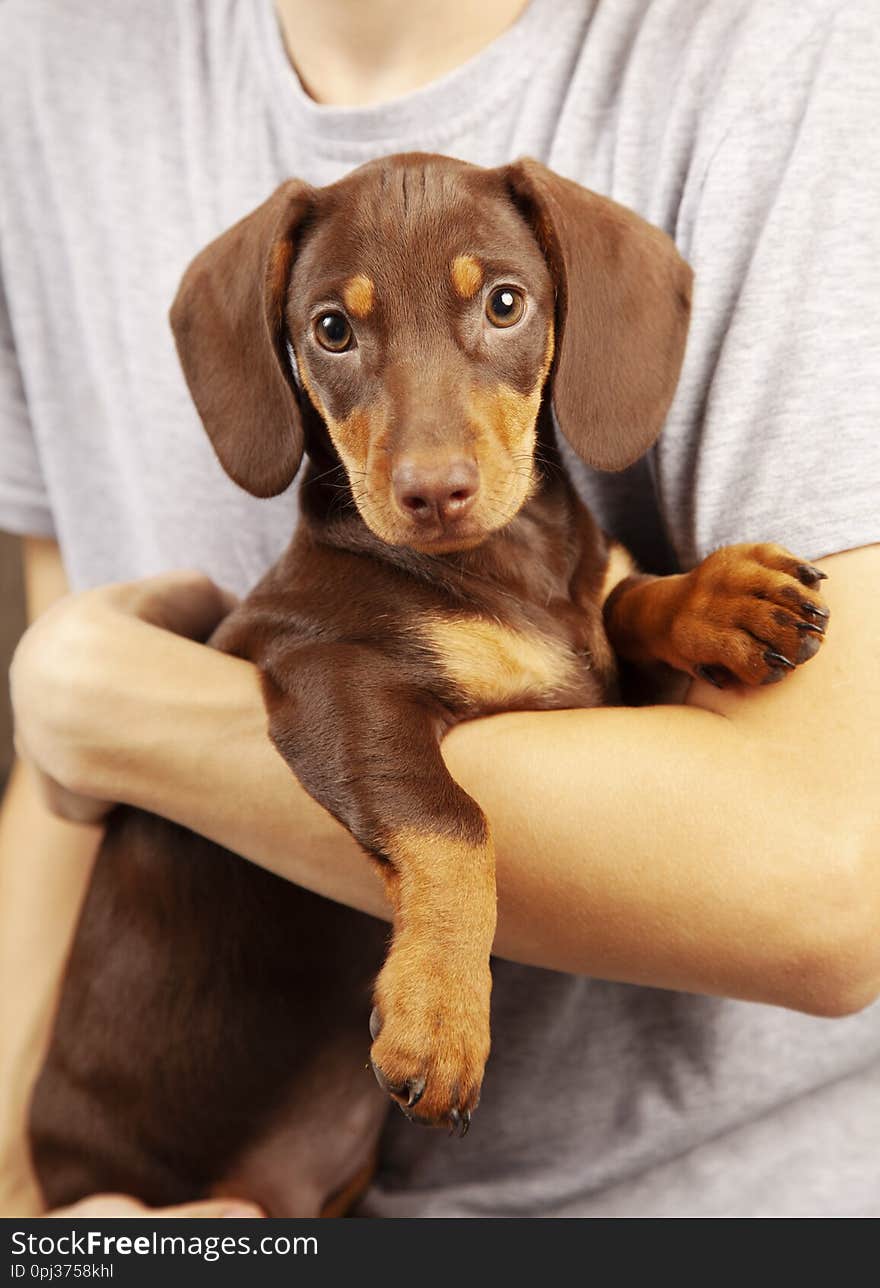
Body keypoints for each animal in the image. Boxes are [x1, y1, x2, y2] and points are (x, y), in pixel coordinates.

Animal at [25, 153, 824, 1215]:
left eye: (505, 303)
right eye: (331, 328)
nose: (433, 493)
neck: (501, 569)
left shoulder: (596, 673)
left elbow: (622, 602)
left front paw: (718, 597)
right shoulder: (327, 673)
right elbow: (449, 819)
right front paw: (441, 1015)